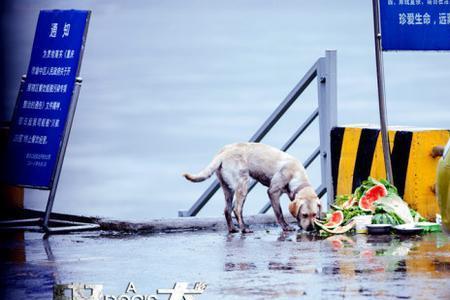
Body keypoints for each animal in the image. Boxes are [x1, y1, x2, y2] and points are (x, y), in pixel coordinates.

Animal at [185, 142, 322, 232]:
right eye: (304, 215)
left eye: (315, 215)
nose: (311, 229)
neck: (296, 174)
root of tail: (223, 154)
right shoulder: (273, 192)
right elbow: (279, 213)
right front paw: (286, 227)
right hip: (243, 185)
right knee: (237, 209)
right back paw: (244, 228)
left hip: (227, 188)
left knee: (227, 210)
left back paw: (233, 229)